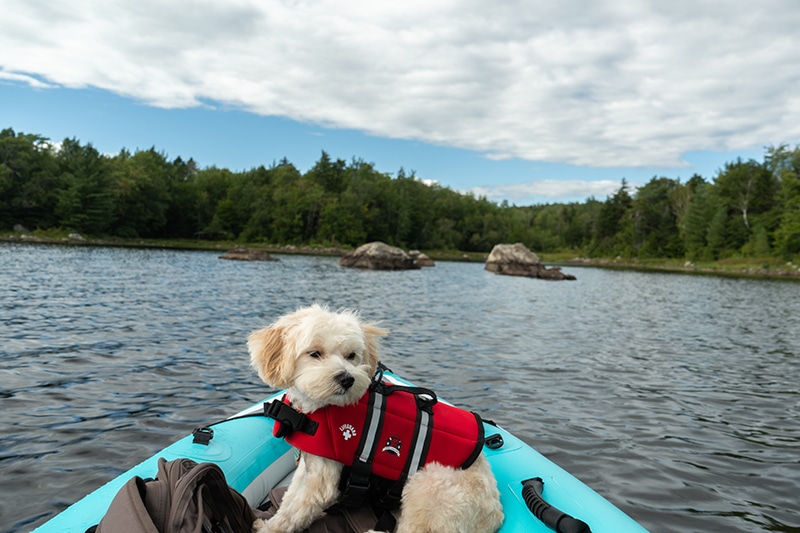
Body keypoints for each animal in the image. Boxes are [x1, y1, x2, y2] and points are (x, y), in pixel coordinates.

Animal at [247, 306, 504, 532]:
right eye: (314, 353)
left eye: (351, 355)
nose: (347, 379)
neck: (322, 408)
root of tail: (496, 513)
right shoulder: (309, 466)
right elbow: (289, 500)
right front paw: (266, 522)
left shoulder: (320, 481)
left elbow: (295, 513)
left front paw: (269, 530)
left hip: (429, 487)